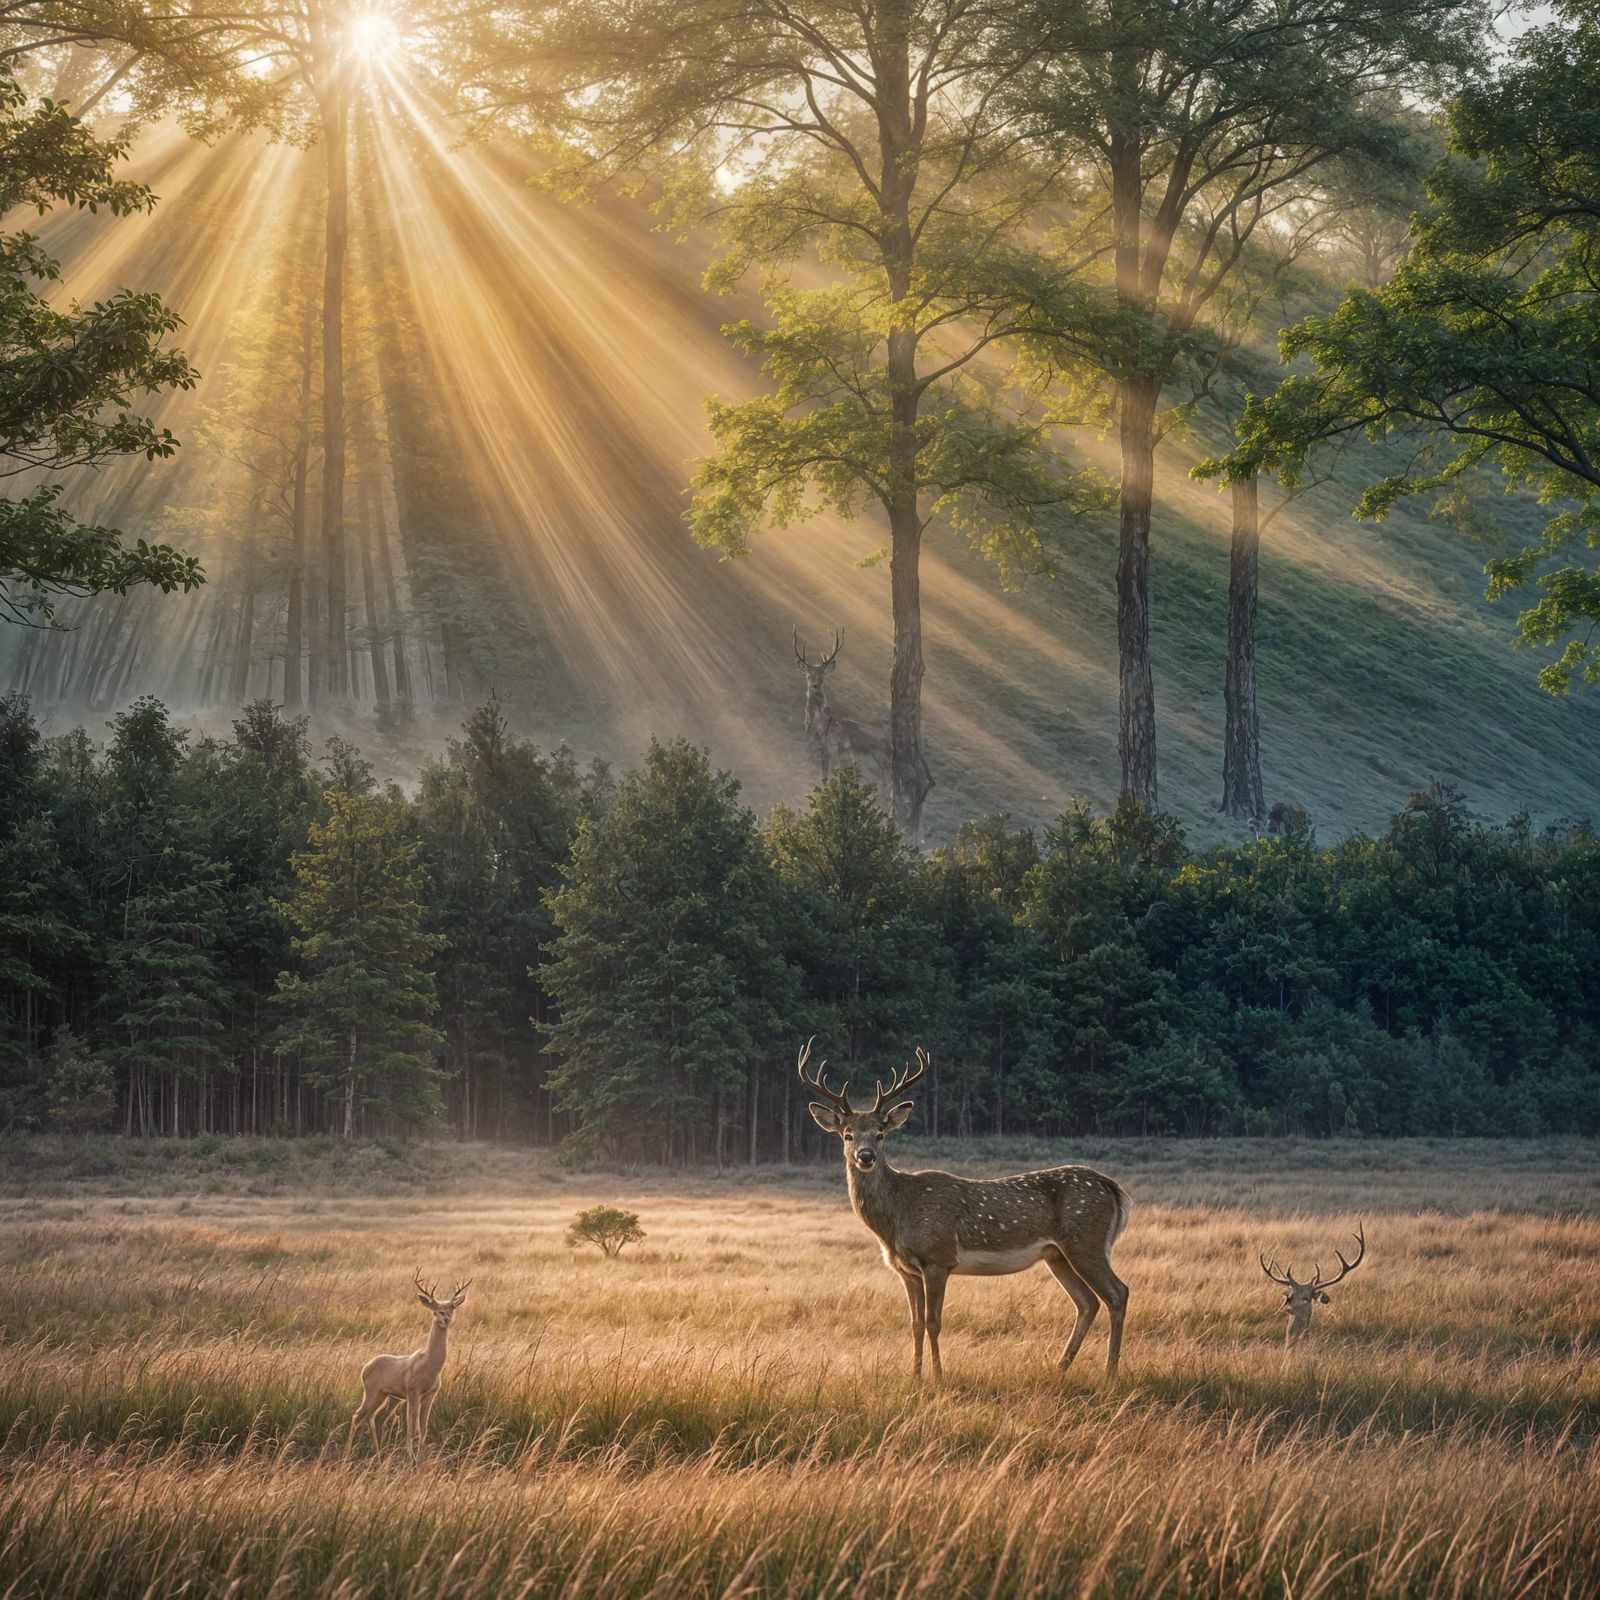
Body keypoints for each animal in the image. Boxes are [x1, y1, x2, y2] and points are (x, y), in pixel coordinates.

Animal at [347, 1270, 470, 1464]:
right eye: (436, 1311)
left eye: (452, 1308)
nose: (446, 1319)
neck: (429, 1366)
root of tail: (365, 1367)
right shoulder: (413, 1392)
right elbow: (413, 1429)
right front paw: (410, 1458)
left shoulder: (430, 1394)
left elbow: (423, 1429)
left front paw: (420, 1458)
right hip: (372, 1392)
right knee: (357, 1415)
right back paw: (348, 1454)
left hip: (386, 1396)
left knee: (371, 1417)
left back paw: (378, 1453)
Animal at [793, 626, 890, 786]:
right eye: (808, 676)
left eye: (821, 676)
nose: (814, 685)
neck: (818, 724)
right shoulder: (824, 749)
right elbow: (826, 776)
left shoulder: (834, 748)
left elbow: (829, 777)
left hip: (881, 757)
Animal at [799, 1037, 1131, 1384]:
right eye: (847, 1134)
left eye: (880, 1134)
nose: (865, 1156)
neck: (897, 1219)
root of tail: (1112, 1187)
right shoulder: (906, 1270)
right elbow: (915, 1324)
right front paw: (915, 1376)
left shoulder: (938, 1258)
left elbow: (934, 1322)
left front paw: (938, 1378)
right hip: (1057, 1255)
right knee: (1087, 1302)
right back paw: (1060, 1366)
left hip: (1086, 1240)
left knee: (1117, 1293)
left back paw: (1110, 1372)